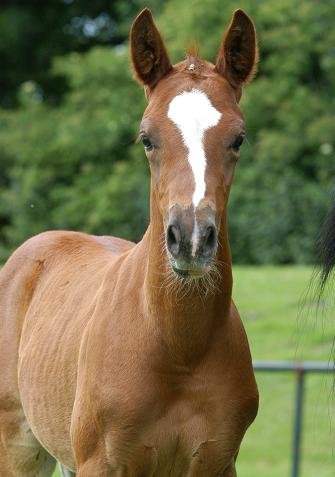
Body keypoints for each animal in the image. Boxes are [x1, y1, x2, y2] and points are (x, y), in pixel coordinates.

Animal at [0, 7, 260, 476]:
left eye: (238, 138)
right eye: (147, 138)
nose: (191, 239)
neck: (177, 349)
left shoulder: (217, 462)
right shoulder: (102, 463)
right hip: (18, 448)